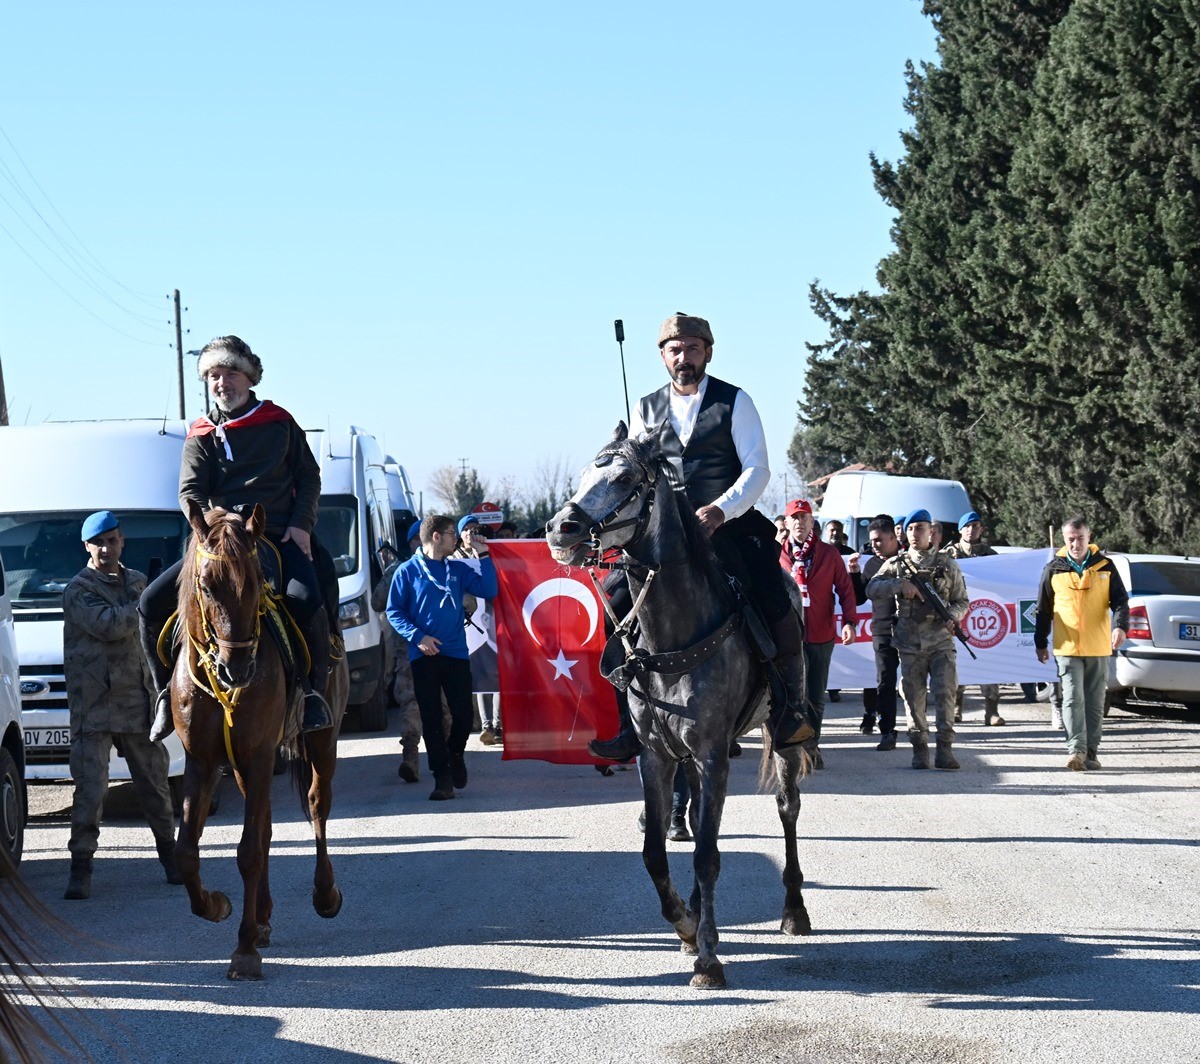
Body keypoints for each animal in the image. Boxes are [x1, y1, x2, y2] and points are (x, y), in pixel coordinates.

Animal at [169, 501, 348, 983]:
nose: (237, 669)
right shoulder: (202, 760)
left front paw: (245, 949)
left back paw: (325, 894)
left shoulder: (261, 753)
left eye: (255, 581)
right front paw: (216, 906)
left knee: (318, 804)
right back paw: (264, 916)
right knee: (266, 826)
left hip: (321, 741)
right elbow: (186, 852)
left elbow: (248, 851)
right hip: (245, 768)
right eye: (207, 586)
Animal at [547, 424, 811, 988]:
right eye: (582, 474)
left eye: (626, 478)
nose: (562, 528)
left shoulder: (712, 754)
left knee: (787, 809)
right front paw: (687, 927)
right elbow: (656, 852)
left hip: (779, 739)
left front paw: (708, 958)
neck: (674, 633)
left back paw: (794, 910)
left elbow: (709, 855)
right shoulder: (656, 756)